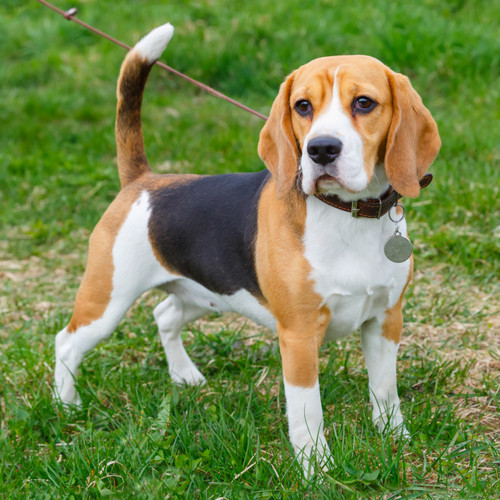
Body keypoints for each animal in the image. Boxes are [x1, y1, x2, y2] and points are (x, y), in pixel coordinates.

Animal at [52, 23, 440, 474]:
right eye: (302, 106)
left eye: (364, 103)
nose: (321, 149)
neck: (347, 215)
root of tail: (143, 181)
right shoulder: (299, 336)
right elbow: (308, 411)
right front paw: (316, 468)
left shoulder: (385, 319)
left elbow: (385, 389)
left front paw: (395, 437)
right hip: (107, 301)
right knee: (67, 341)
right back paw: (66, 405)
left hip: (206, 293)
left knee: (164, 314)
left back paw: (184, 375)